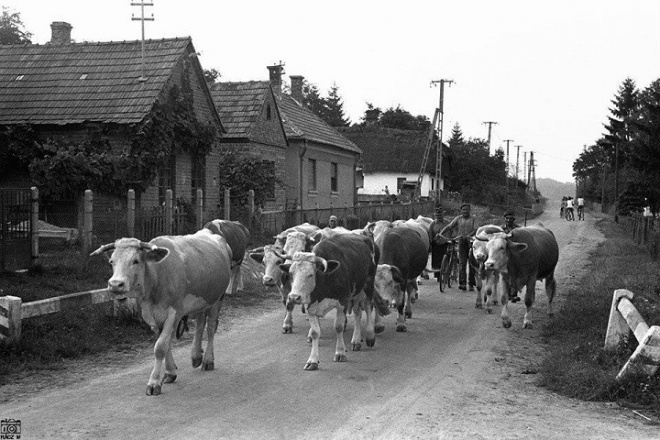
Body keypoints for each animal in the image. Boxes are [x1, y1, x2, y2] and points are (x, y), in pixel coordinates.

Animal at [87, 230, 232, 396]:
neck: (157, 276)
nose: (116, 284)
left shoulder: (174, 313)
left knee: (211, 327)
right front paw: (170, 372)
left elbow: (160, 346)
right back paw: (196, 356)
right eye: (111, 262)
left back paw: (208, 360)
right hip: (202, 300)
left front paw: (154, 382)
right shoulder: (151, 316)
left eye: (136, 261)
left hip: (217, 298)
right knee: (200, 323)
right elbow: (166, 343)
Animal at [282, 235, 390, 370]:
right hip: (356, 290)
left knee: (368, 307)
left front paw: (340, 353)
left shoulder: (342, 301)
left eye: (310, 274)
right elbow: (315, 333)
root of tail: (366, 237)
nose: (293, 297)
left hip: (368, 283)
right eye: (291, 273)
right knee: (357, 313)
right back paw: (356, 340)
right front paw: (312, 360)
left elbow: (338, 327)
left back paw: (370, 336)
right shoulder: (310, 307)